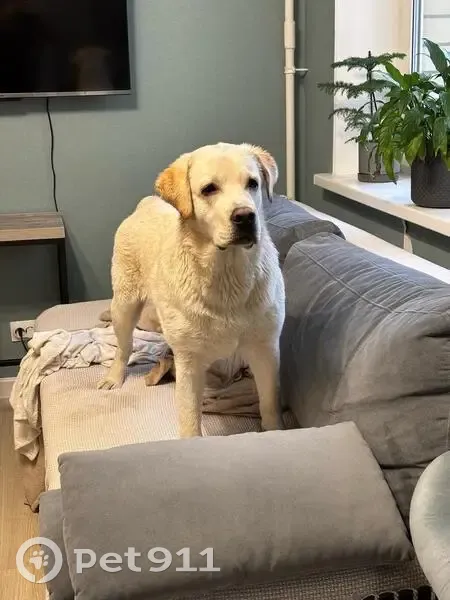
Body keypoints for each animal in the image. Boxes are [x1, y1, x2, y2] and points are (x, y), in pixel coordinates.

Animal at [98, 142, 285, 438]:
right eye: (209, 189)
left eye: (253, 184)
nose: (245, 216)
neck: (227, 275)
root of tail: (147, 203)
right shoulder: (189, 362)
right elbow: (190, 419)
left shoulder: (265, 350)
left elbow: (269, 404)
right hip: (124, 305)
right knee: (124, 346)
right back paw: (114, 377)